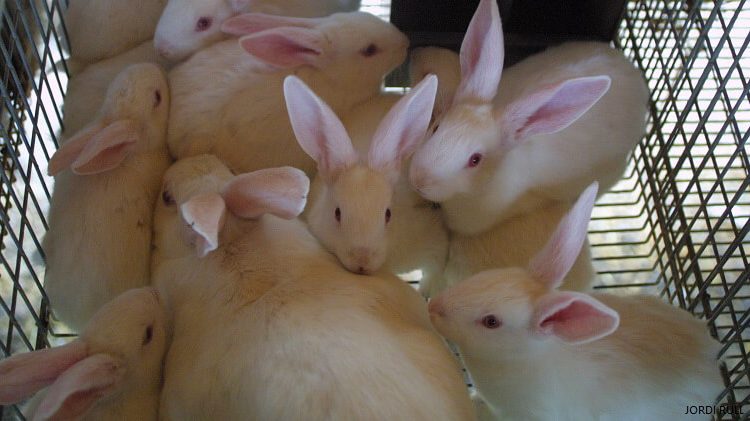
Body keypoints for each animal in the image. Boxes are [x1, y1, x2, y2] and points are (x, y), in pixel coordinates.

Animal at [284, 74, 449, 294]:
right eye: (337, 213)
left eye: (388, 214)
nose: (362, 261)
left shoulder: (432, 238)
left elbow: (436, 269)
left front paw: (427, 293)